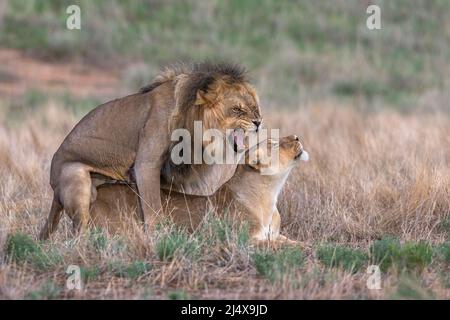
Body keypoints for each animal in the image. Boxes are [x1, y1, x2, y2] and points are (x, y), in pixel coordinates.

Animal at [40, 62, 264, 239]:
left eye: (255, 108)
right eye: (237, 109)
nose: (259, 122)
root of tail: (53, 185)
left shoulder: (170, 173)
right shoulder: (146, 165)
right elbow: (153, 207)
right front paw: (160, 236)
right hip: (77, 177)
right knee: (78, 231)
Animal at [85, 134, 308, 242]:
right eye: (273, 143)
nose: (297, 137)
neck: (270, 194)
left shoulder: (277, 234)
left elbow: (293, 243)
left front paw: (312, 246)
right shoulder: (245, 240)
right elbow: (275, 247)